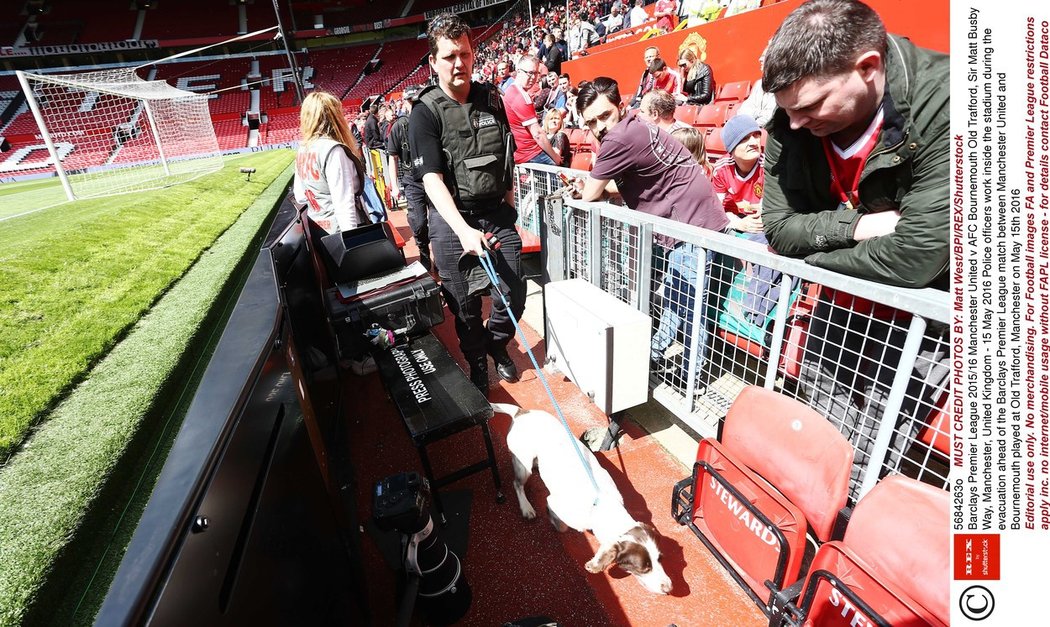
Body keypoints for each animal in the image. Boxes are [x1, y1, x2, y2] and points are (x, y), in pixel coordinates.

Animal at [491, 403, 672, 592]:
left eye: (660, 559)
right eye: (644, 568)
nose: (669, 588)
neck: (602, 503)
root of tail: (521, 412)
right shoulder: (556, 502)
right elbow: (561, 524)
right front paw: (553, 520)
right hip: (522, 463)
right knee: (517, 484)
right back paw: (526, 508)